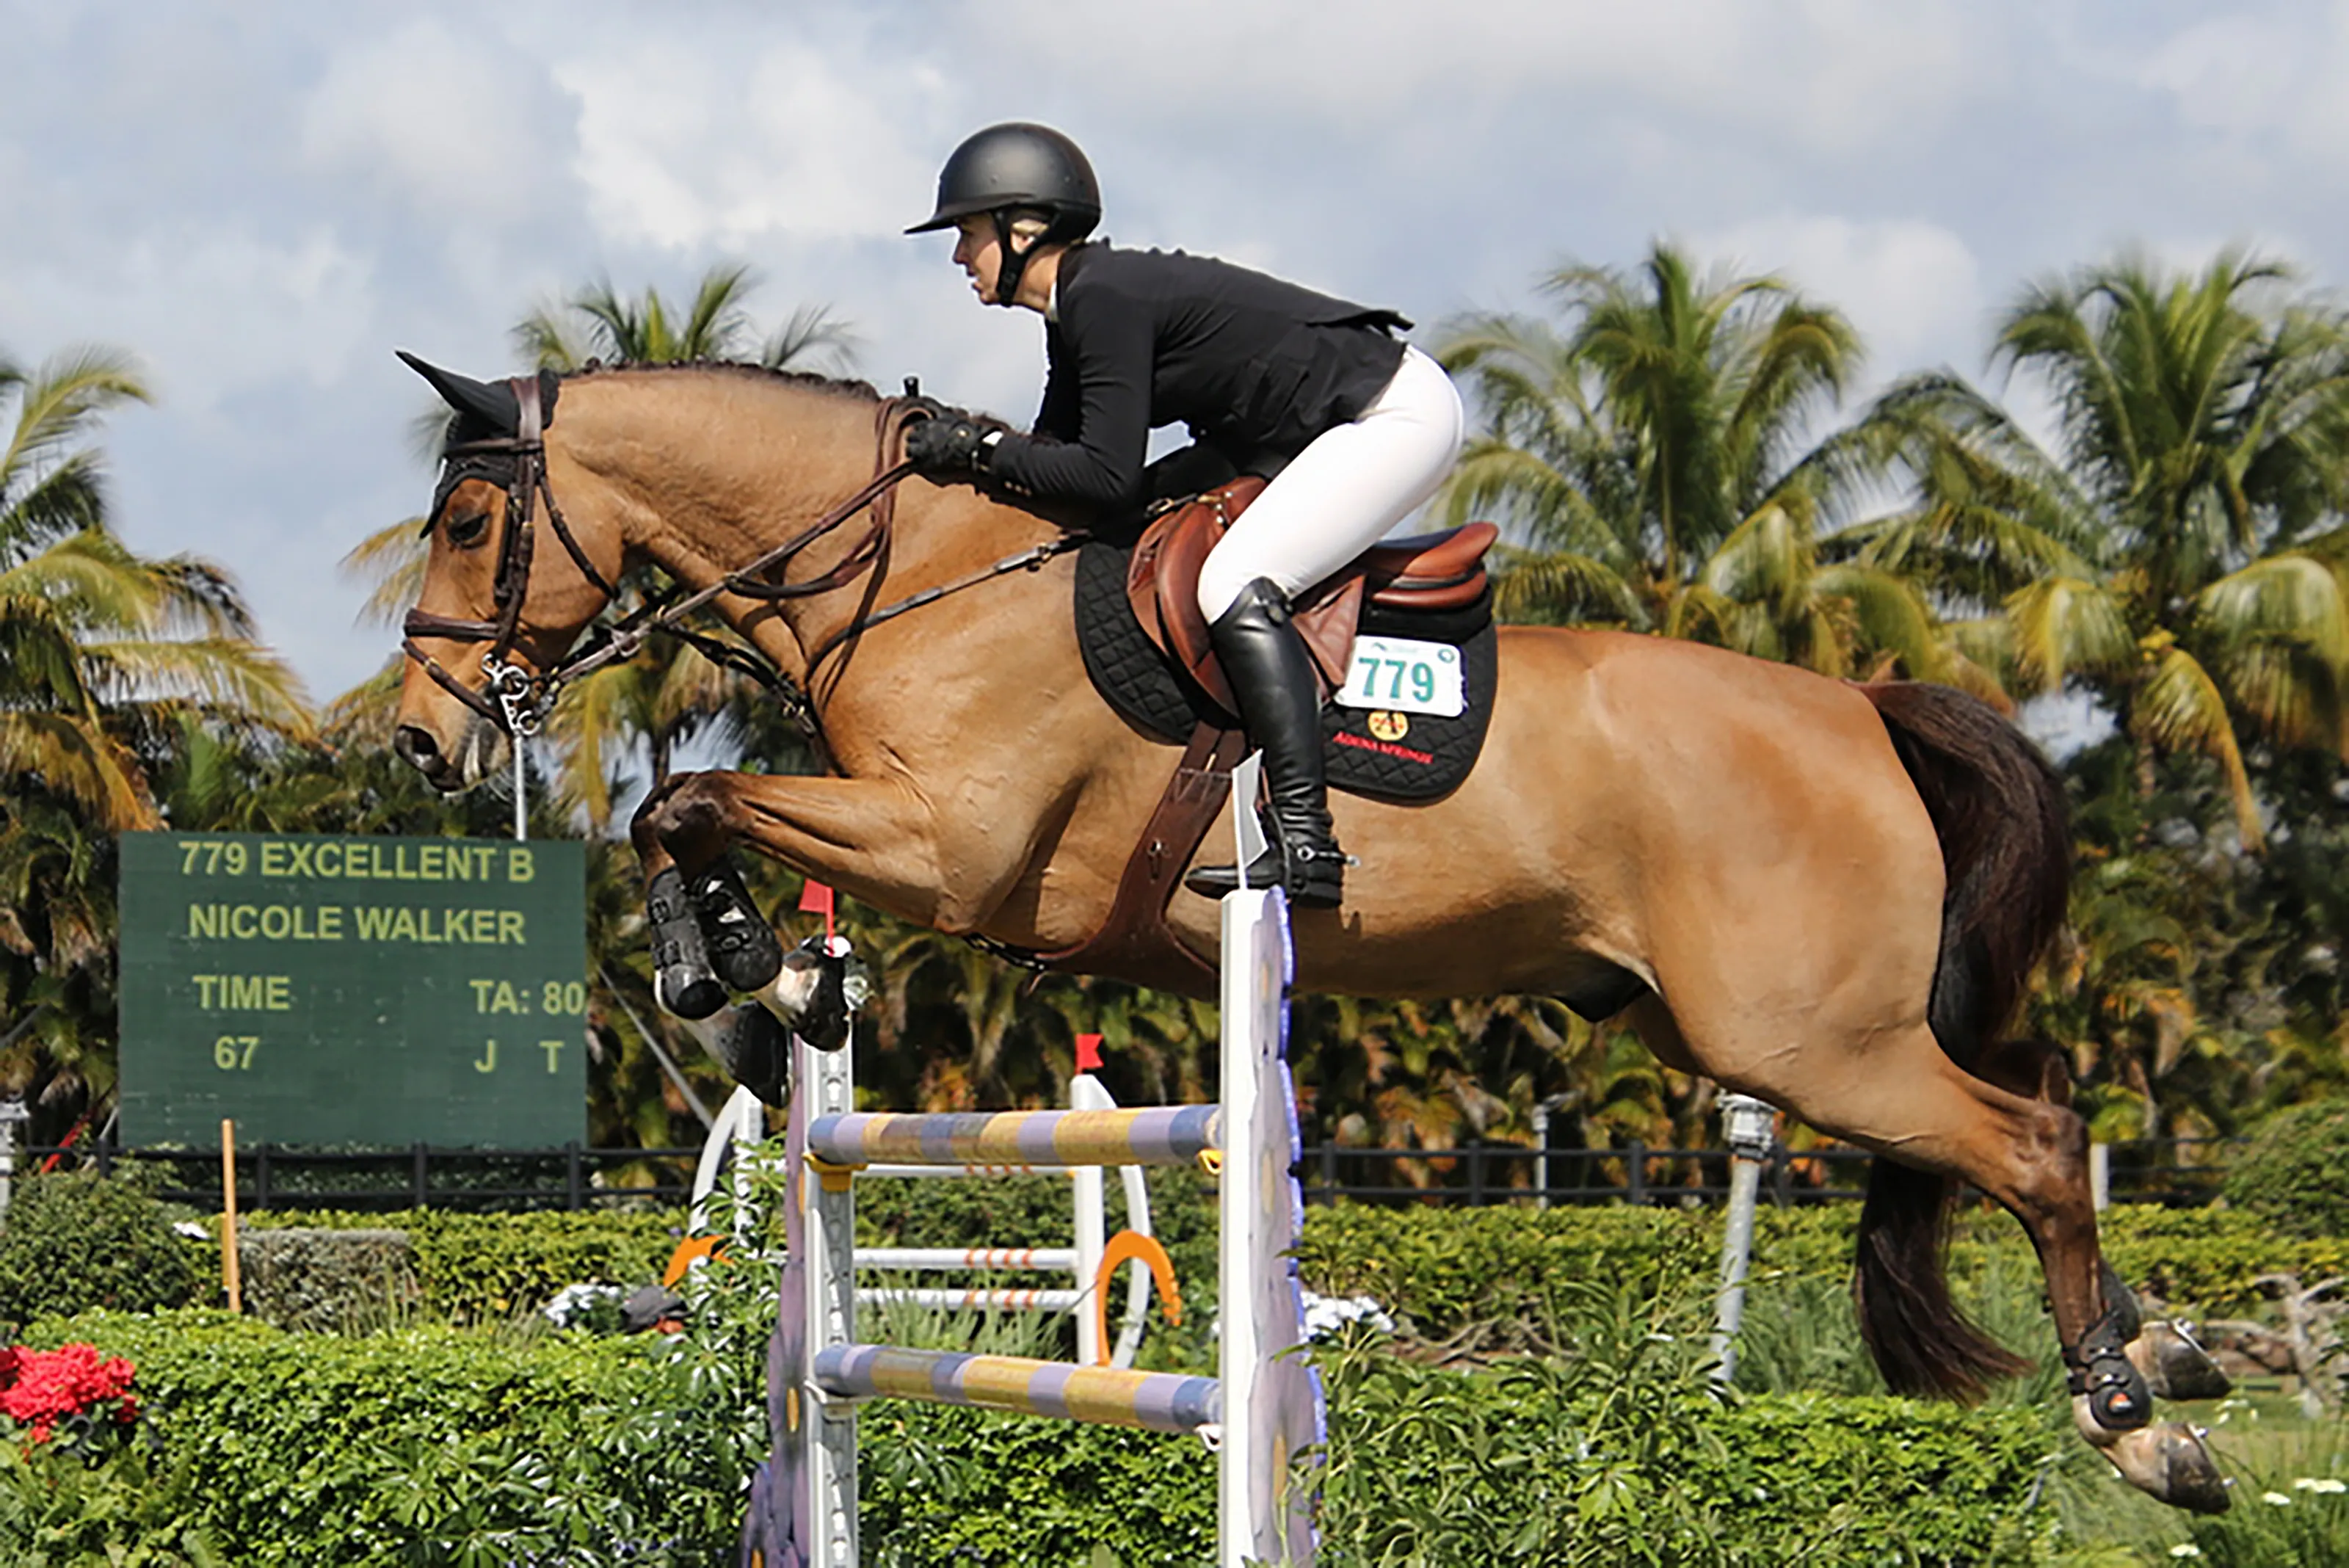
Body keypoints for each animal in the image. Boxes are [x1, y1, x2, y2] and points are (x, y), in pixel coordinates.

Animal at [387, 355, 2232, 1512]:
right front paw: (757, 975)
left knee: (2035, 1138)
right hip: (1750, 1025)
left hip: (1807, 1040)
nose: (416, 741)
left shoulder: (956, 854)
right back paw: (2168, 1348)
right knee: (2029, 1112)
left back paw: (2136, 1423)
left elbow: (688, 796)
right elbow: (687, 804)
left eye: (469, 524)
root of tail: (1861, 702)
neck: (919, 574)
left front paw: (732, 964)